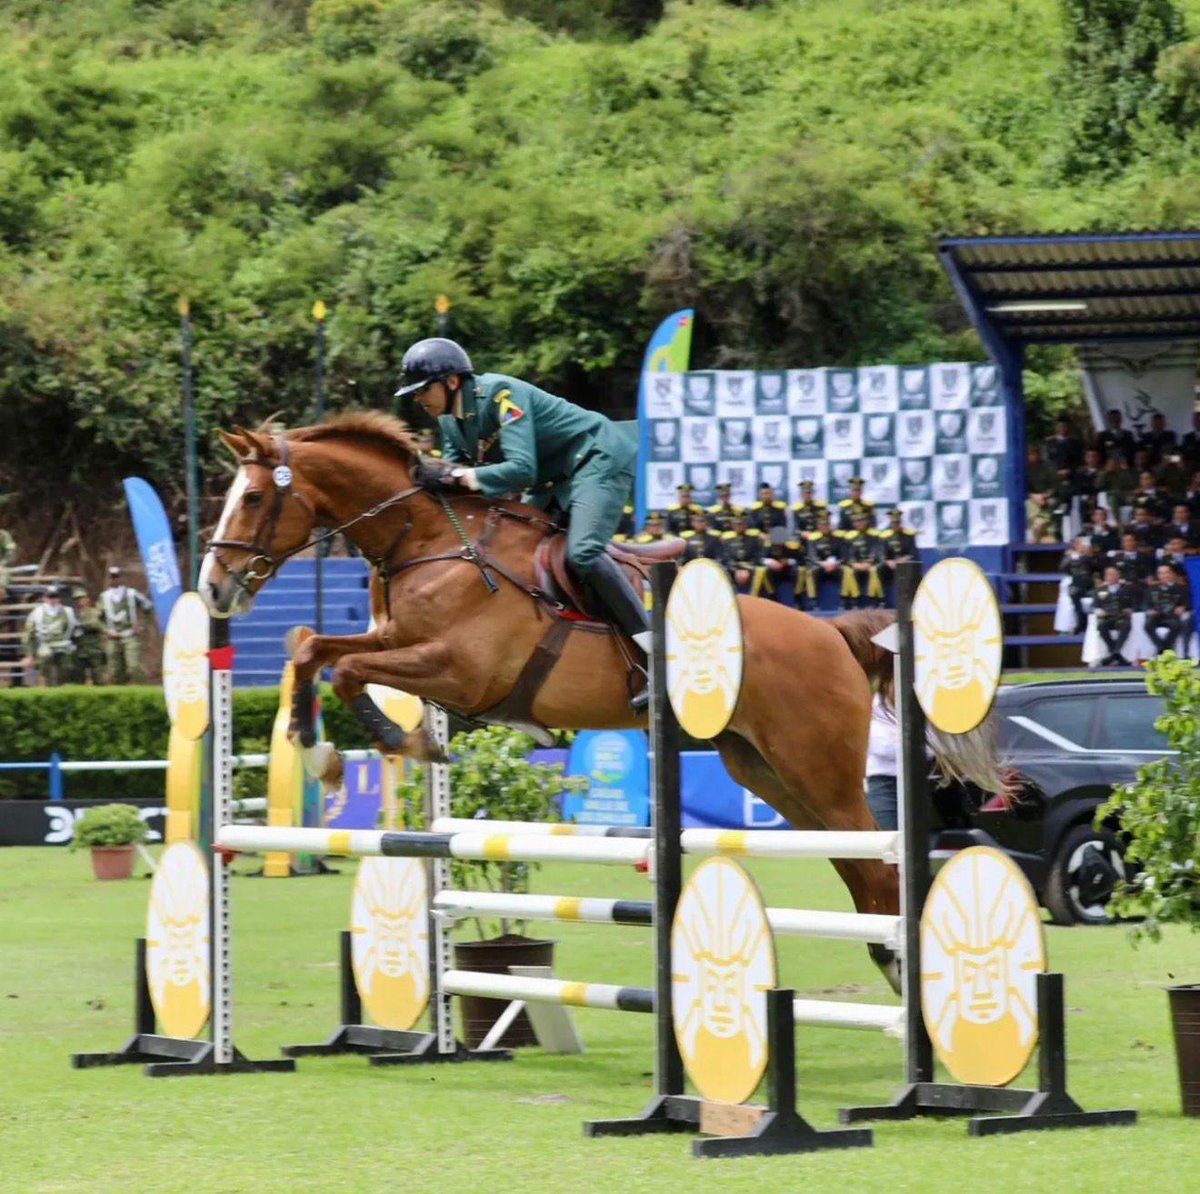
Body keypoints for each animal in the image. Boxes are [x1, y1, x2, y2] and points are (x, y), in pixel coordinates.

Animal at [199, 412, 1002, 991]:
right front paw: (320, 749)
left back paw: (905, 971)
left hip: (819, 771)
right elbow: (314, 648)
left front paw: (396, 744)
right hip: (770, 774)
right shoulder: (400, 644)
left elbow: (344, 670)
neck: (426, 541)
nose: (212, 588)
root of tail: (829, 632)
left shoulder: (457, 670)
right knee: (859, 867)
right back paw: (890, 963)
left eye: (254, 497)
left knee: (880, 862)